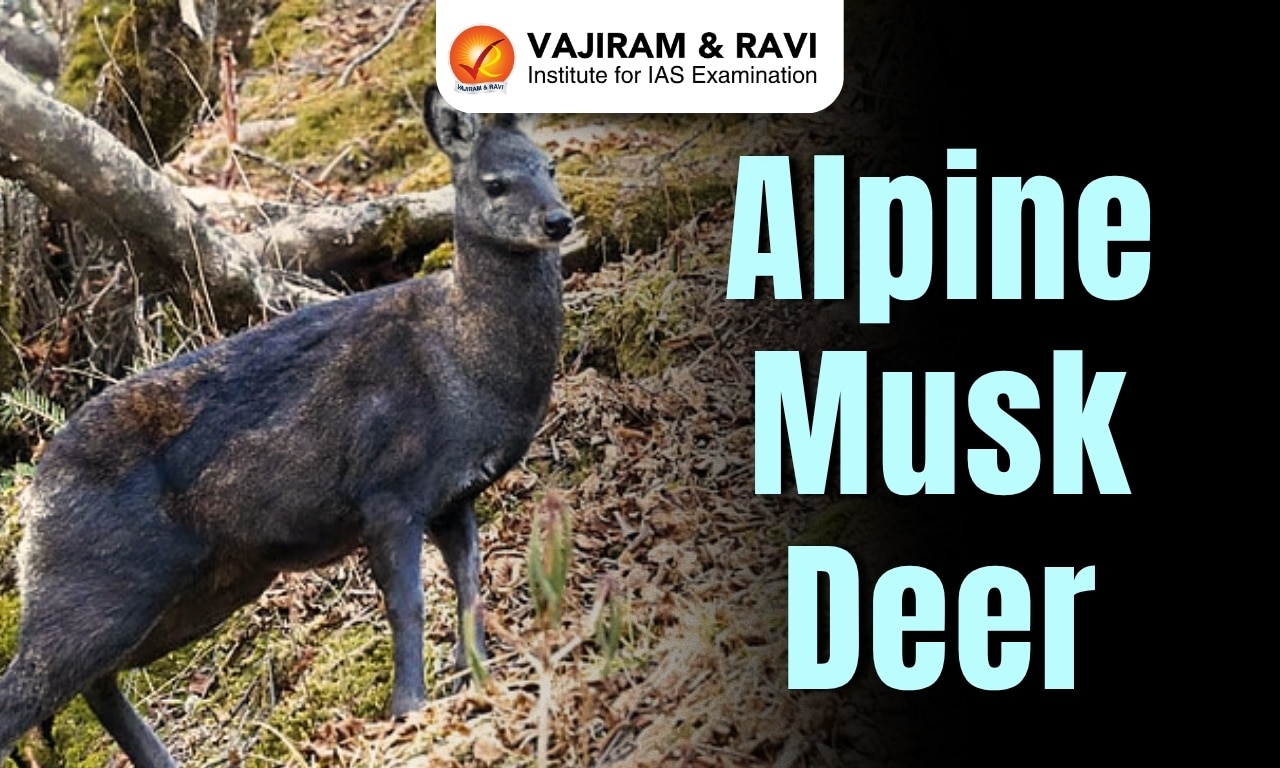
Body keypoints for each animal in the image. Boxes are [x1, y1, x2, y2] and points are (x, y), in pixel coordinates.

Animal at [0, 85, 572, 768]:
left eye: (550, 165)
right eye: (494, 183)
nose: (559, 221)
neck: (464, 364)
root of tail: (34, 491)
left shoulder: (454, 495)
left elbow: (470, 584)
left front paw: (478, 679)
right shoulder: (388, 488)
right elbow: (406, 604)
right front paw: (409, 709)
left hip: (210, 583)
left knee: (99, 682)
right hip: (91, 582)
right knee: (30, 690)